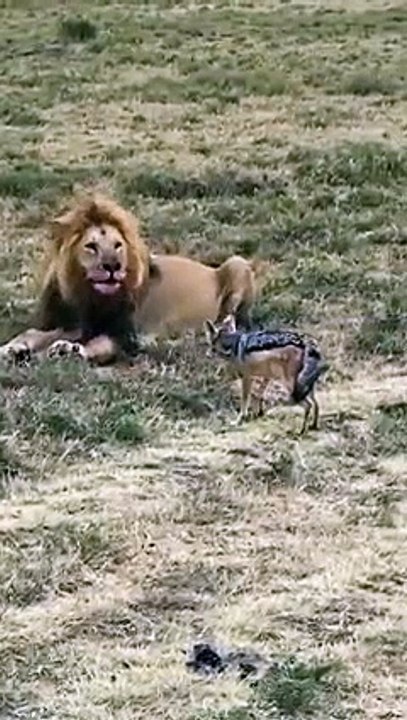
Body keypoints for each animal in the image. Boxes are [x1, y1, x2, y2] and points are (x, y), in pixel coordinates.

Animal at [0, 193, 256, 365]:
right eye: (91, 246)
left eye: (117, 245)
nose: (113, 266)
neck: (89, 297)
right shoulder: (69, 324)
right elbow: (31, 333)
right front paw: (12, 348)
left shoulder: (125, 335)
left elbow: (101, 345)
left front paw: (69, 350)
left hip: (237, 264)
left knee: (234, 321)